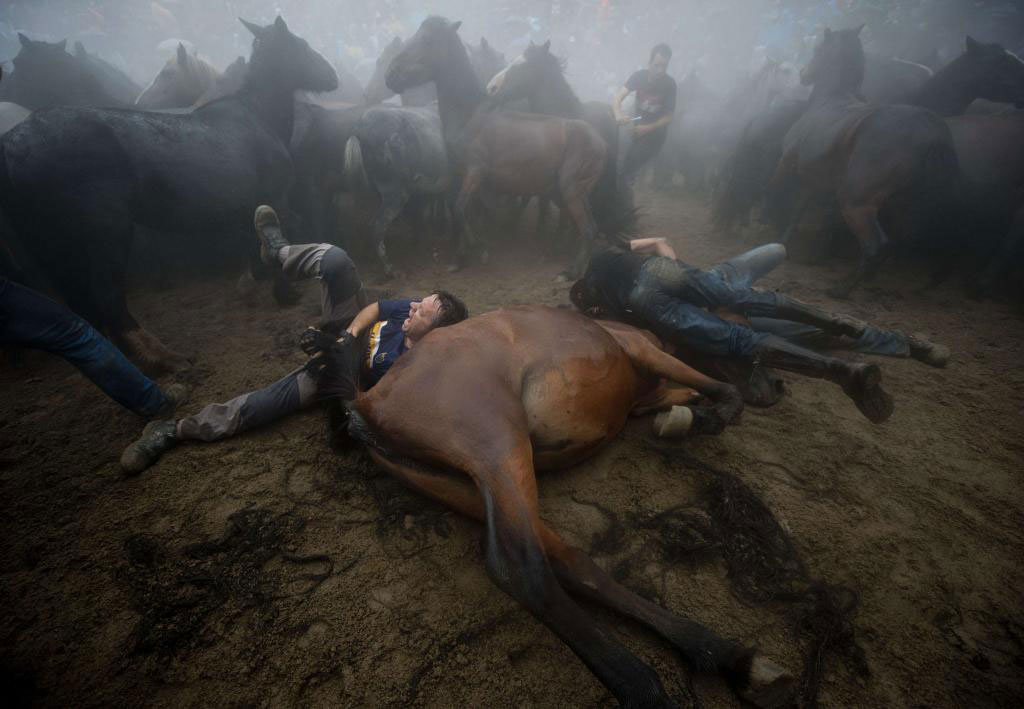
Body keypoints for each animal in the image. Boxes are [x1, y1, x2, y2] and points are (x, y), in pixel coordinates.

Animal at [0, 16, 337, 370]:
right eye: (301, 45)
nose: (332, 76)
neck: (258, 114)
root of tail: (11, 144)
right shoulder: (275, 196)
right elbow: (278, 241)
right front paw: (286, 292)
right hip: (107, 231)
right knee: (107, 297)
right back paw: (163, 358)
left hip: (48, 240)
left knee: (81, 306)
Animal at [319, 305, 790, 709]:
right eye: (746, 342)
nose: (777, 389)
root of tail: (366, 404)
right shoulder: (646, 353)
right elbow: (720, 391)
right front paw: (705, 418)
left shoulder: (644, 394)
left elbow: (685, 394)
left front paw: (682, 418)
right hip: (497, 444)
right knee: (523, 570)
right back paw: (646, 687)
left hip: (462, 482)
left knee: (569, 562)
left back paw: (720, 652)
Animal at [382, 16, 606, 276]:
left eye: (426, 40)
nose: (391, 73)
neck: (469, 116)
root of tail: (600, 141)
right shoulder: (463, 175)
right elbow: (464, 211)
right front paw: (459, 259)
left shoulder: (476, 171)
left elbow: (460, 209)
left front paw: (479, 248)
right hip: (568, 192)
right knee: (586, 225)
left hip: (571, 189)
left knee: (587, 228)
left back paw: (572, 271)